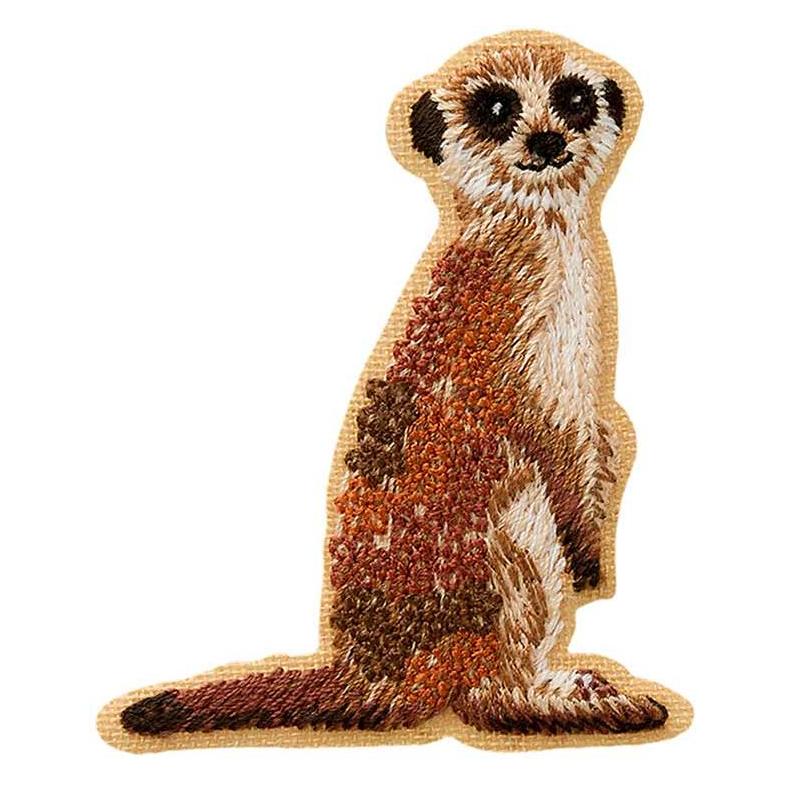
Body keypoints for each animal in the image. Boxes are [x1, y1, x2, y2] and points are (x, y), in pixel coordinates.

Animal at [100, 31, 688, 751]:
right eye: (497, 107)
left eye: (574, 98)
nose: (548, 141)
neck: (537, 234)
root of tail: (368, 672)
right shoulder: (525, 334)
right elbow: (553, 429)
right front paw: (587, 553)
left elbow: (608, 431)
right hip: (487, 562)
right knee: (496, 655)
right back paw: (561, 700)